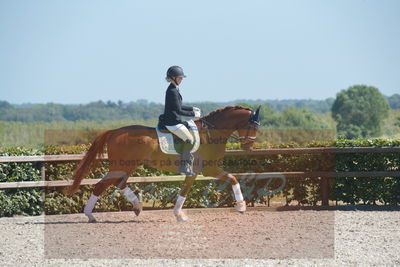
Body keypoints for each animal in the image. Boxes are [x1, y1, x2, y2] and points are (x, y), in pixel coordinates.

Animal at [65, 105, 260, 223]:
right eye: (253, 126)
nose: (248, 147)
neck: (211, 133)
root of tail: (114, 131)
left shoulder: (207, 170)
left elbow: (232, 178)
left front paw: (240, 206)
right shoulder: (204, 169)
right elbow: (188, 190)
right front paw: (179, 215)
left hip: (127, 165)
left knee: (118, 183)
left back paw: (137, 207)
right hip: (122, 166)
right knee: (103, 184)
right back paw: (90, 215)